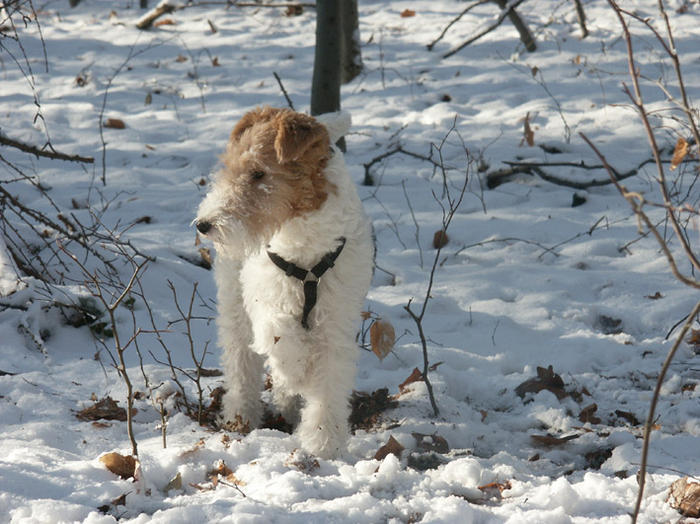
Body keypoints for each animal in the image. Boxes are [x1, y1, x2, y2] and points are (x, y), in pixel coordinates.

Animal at [194, 107, 374, 458]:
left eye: (258, 173)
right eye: (230, 167)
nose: (204, 224)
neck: (307, 252)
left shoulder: (336, 322)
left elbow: (329, 383)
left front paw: (323, 444)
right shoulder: (267, 299)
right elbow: (280, 337)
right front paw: (295, 375)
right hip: (234, 304)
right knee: (241, 364)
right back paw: (241, 415)